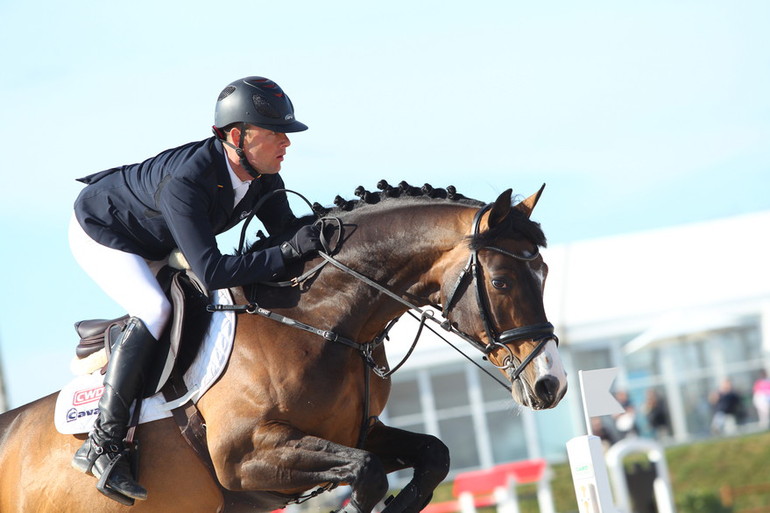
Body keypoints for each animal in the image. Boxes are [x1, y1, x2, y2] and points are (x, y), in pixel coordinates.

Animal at [0, 185, 564, 512]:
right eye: (502, 281)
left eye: (544, 273)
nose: (551, 383)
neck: (319, 320)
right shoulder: (245, 454)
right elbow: (366, 474)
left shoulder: (359, 431)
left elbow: (433, 456)